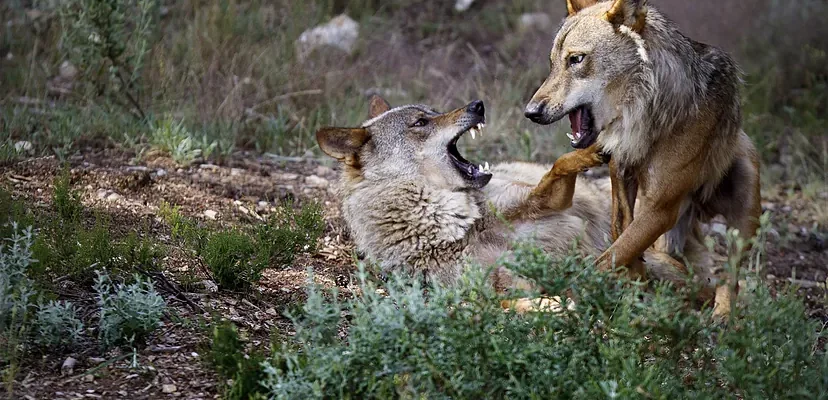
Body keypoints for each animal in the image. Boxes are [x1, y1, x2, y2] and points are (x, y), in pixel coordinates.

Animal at [528, 1, 760, 318]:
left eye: (576, 60)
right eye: (552, 63)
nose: (530, 112)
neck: (643, 113)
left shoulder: (660, 208)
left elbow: (609, 258)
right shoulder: (621, 170)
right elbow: (620, 230)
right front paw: (635, 273)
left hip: (746, 197)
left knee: (730, 277)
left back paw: (723, 317)